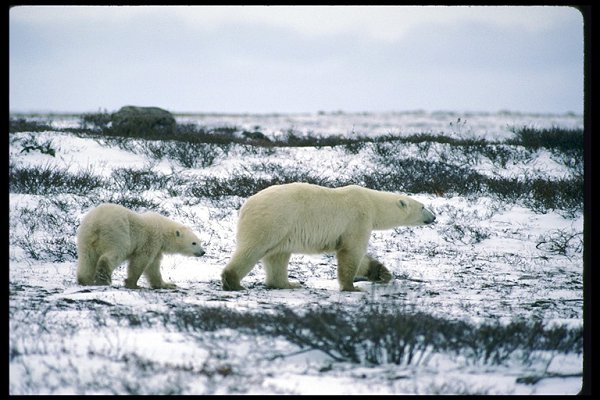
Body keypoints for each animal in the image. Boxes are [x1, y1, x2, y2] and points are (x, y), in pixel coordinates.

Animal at [221, 183, 436, 292]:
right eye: (423, 206)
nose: (434, 217)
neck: (372, 202)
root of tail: (246, 205)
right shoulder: (358, 219)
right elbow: (352, 252)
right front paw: (352, 287)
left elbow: (359, 258)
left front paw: (381, 273)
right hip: (273, 221)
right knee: (252, 250)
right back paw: (233, 282)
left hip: (283, 231)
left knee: (278, 257)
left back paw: (289, 283)